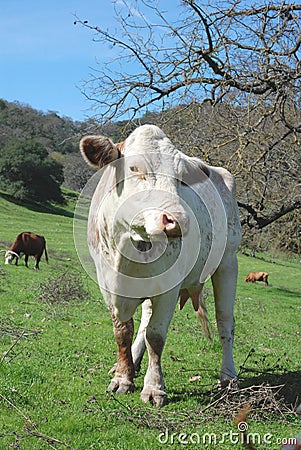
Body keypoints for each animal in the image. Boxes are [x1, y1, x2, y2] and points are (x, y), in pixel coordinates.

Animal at [79, 125, 241, 406]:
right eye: (134, 168)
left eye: (182, 179)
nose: (179, 220)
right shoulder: (108, 286)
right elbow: (123, 331)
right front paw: (123, 377)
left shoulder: (169, 288)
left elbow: (156, 335)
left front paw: (154, 388)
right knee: (144, 319)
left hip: (228, 263)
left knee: (225, 321)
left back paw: (228, 376)